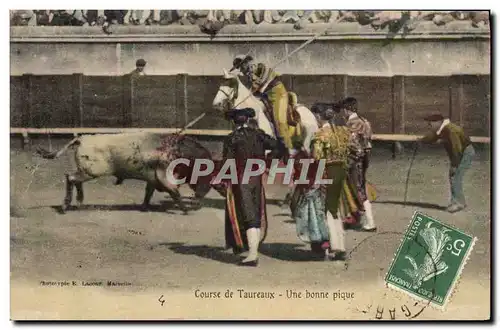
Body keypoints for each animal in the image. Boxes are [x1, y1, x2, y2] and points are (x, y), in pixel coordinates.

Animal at [35, 131, 223, 214]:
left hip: (87, 171)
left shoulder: (152, 178)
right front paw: (185, 210)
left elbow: (148, 192)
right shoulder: (165, 177)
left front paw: (144, 207)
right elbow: (175, 193)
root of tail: (82, 138)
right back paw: (66, 206)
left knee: (74, 179)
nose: (198, 201)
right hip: (91, 172)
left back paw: (79, 202)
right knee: (71, 178)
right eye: (207, 175)